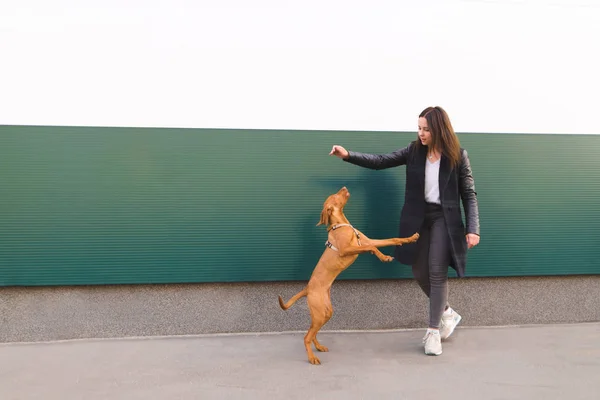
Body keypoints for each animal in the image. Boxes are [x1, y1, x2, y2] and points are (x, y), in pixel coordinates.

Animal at [278, 186, 420, 364]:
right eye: (335, 196)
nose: (344, 187)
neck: (341, 224)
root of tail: (307, 289)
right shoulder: (348, 249)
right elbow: (372, 248)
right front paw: (384, 257)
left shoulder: (367, 240)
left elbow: (391, 239)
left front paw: (410, 238)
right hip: (319, 313)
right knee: (306, 337)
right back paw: (312, 358)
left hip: (325, 312)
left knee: (312, 333)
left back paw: (318, 347)